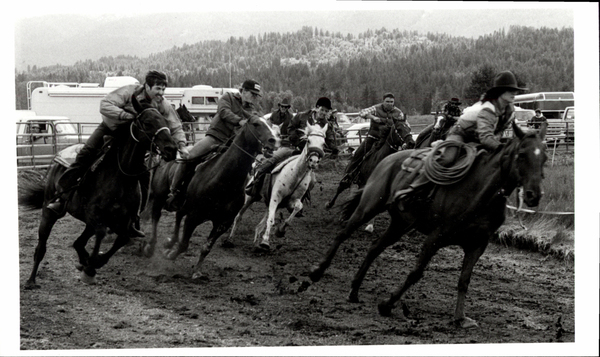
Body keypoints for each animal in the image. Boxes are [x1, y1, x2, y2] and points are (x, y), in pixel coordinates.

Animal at [18, 96, 178, 288]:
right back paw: (31, 280)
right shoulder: (95, 216)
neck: (120, 177)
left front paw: (93, 263)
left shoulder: (123, 221)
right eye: (147, 123)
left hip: (88, 222)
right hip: (50, 211)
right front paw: (90, 269)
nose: (171, 149)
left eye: (165, 121)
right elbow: (101, 234)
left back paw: (83, 261)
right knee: (41, 247)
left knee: (78, 243)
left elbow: (123, 238)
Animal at [225, 122, 328, 250]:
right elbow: (271, 220)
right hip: (249, 198)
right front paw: (265, 242)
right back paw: (229, 240)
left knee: (259, 225)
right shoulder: (276, 197)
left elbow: (297, 208)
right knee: (238, 217)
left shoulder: (289, 201)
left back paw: (256, 244)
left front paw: (280, 231)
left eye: (323, 143)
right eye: (308, 140)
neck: (296, 173)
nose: (313, 161)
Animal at [310, 122, 548, 328]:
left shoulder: (477, 245)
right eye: (521, 155)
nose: (533, 195)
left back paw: (354, 290)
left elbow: (464, 280)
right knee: (343, 233)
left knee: (375, 248)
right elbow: (416, 273)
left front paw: (460, 318)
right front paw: (387, 305)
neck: (480, 192)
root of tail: (388, 159)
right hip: (370, 204)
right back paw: (317, 272)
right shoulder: (436, 237)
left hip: (400, 223)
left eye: (544, 157)